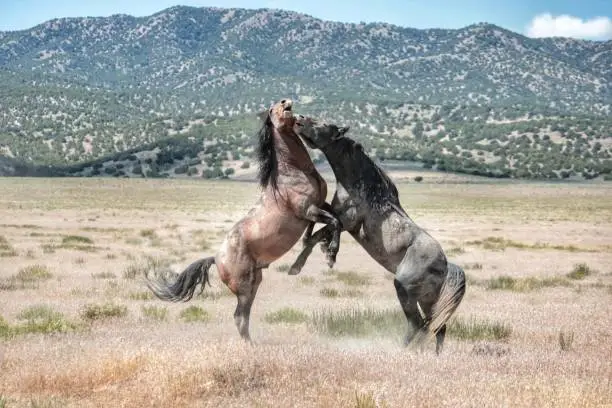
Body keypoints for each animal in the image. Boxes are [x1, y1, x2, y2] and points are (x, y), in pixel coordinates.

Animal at [146, 99, 342, 342]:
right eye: (272, 109)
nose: (286, 102)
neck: (294, 172)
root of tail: (216, 258)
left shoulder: (319, 206)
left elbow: (330, 223)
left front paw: (319, 248)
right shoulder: (308, 210)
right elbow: (334, 222)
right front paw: (330, 254)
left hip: (255, 282)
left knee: (244, 317)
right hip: (244, 287)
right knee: (239, 317)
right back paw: (251, 346)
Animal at [290, 115, 466, 354]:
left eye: (324, 125)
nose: (298, 119)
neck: (362, 187)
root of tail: (446, 265)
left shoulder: (348, 223)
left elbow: (327, 228)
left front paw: (329, 255)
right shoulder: (337, 214)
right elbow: (317, 225)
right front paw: (302, 261)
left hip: (404, 288)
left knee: (417, 324)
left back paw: (403, 351)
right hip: (428, 300)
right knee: (438, 327)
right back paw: (433, 355)